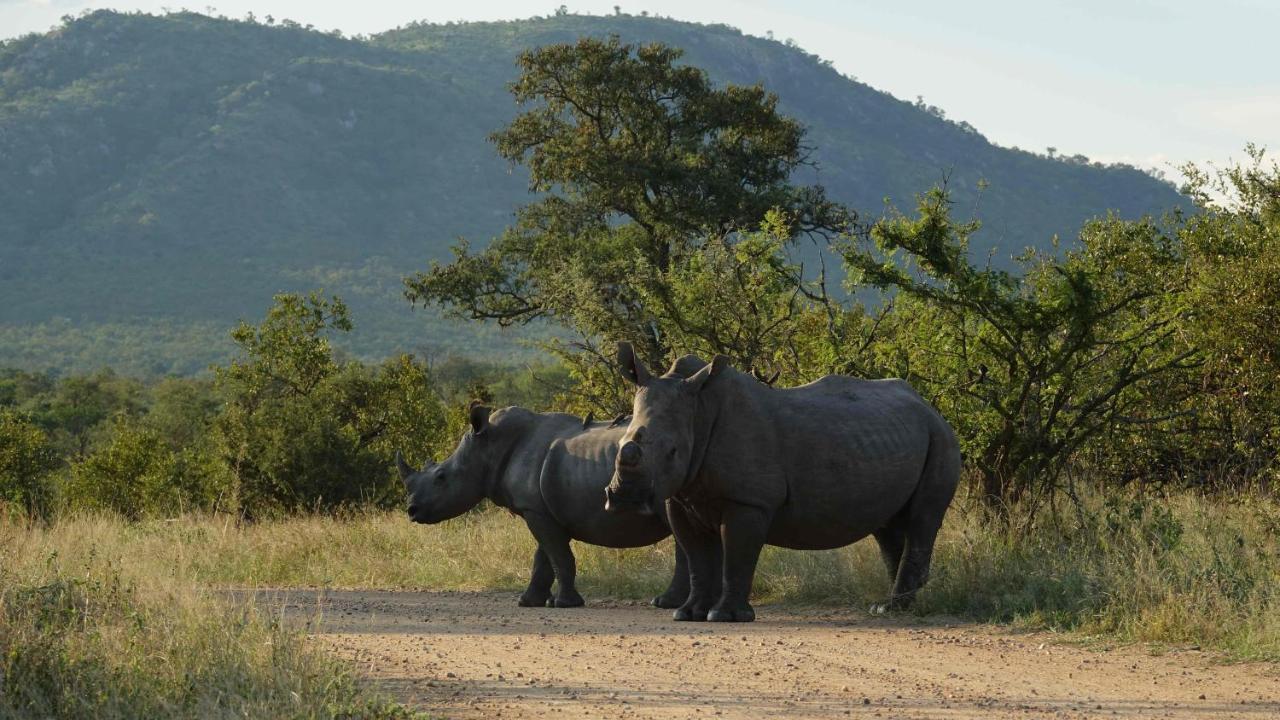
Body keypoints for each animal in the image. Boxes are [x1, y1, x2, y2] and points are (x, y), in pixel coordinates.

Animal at [399, 399, 691, 607]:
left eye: (441, 477)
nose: (412, 511)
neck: (489, 446)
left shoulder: (535, 510)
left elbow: (558, 556)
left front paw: (564, 604)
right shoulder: (540, 509)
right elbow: (544, 557)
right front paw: (529, 602)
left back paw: (664, 604)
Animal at [604, 345, 957, 620]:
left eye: (673, 451)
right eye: (619, 444)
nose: (625, 498)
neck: (700, 410)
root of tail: (930, 407)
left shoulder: (749, 500)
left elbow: (737, 555)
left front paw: (725, 616)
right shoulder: (681, 497)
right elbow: (698, 558)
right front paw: (688, 614)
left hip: (940, 437)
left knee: (922, 518)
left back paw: (894, 609)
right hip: (896, 435)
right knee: (888, 525)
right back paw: (887, 607)